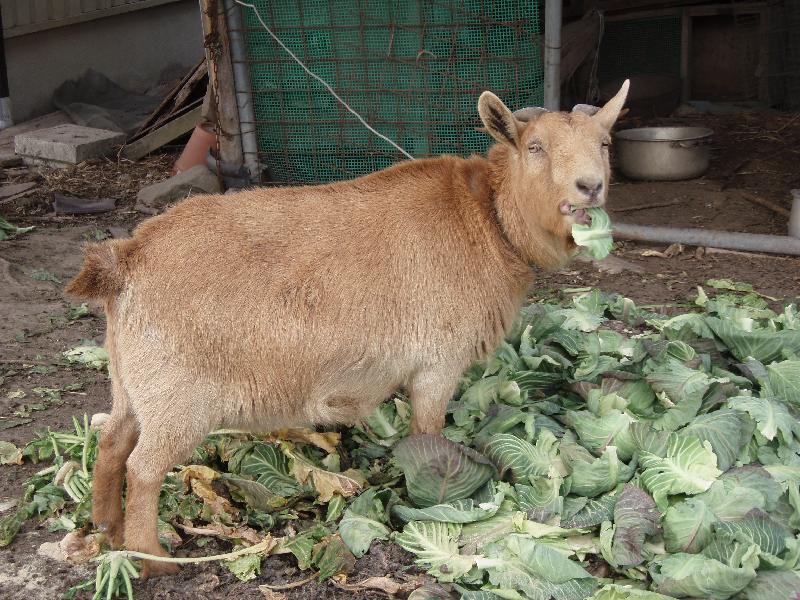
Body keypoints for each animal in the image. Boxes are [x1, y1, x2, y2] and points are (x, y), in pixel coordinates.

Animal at [65, 81, 628, 576]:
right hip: (179, 395)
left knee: (112, 443)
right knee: (142, 468)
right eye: (535, 146)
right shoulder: (438, 362)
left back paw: (106, 529)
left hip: (134, 380)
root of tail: (126, 260)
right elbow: (428, 432)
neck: (488, 219)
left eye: (604, 143)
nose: (590, 187)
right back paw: (153, 559)